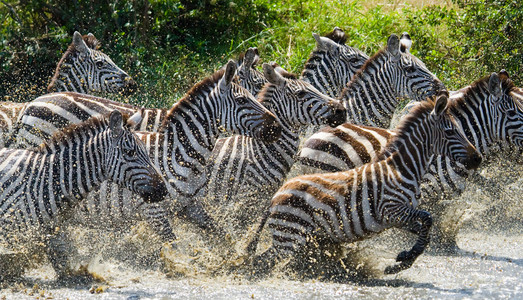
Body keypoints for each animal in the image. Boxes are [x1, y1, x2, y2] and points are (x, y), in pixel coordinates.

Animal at [0, 110, 168, 278]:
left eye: (146, 151)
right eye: (129, 152)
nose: (163, 190)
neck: (47, 180)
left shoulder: (53, 233)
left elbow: (63, 265)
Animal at [246, 93, 484, 274]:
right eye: (451, 131)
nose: (477, 158)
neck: (401, 169)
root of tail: (276, 196)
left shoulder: (399, 217)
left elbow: (424, 230)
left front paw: (403, 260)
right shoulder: (391, 209)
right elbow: (428, 219)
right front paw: (402, 261)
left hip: (295, 238)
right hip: (289, 238)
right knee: (259, 265)